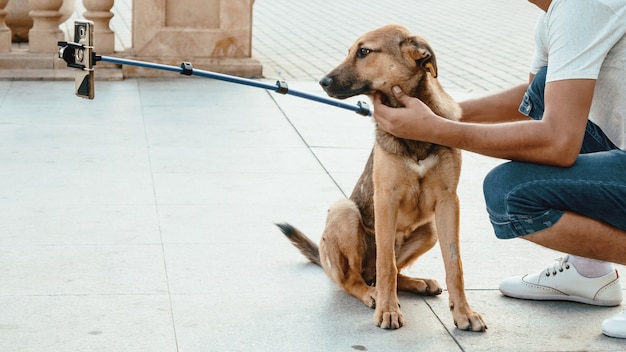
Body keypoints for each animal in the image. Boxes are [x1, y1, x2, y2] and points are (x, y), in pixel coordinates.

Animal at [276, 24, 486, 332]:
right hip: (343, 211)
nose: (322, 82)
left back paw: (418, 283)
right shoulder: (386, 198)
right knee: (356, 279)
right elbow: (386, 263)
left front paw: (464, 313)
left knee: (391, 271)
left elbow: (454, 263)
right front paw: (387, 310)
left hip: (430, 230)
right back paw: (372, 294)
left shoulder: (448, 201)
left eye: (364, 52)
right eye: (350, 51)